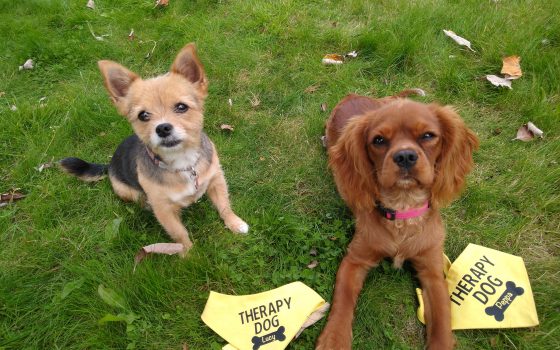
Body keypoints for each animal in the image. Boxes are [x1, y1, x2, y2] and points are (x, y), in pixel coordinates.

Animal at [59, 43, 249, 254]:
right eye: (143, 115)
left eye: (181, 107)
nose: (163, 128)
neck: (183, 162)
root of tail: (109, 165)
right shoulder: (164, 210)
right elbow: (179, 234)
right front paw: (189, 254)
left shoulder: (216, 180)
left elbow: (224, 206)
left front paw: (234, 223)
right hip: (127, 191)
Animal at [318, 91, 480, 348]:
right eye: (378, 140)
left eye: (428, 135)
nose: (405, 156)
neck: (403, 209)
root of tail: (353, 95)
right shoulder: (355, 259)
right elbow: (342, 301)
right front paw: (334, 340)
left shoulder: (432, 270)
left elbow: (442, 318)